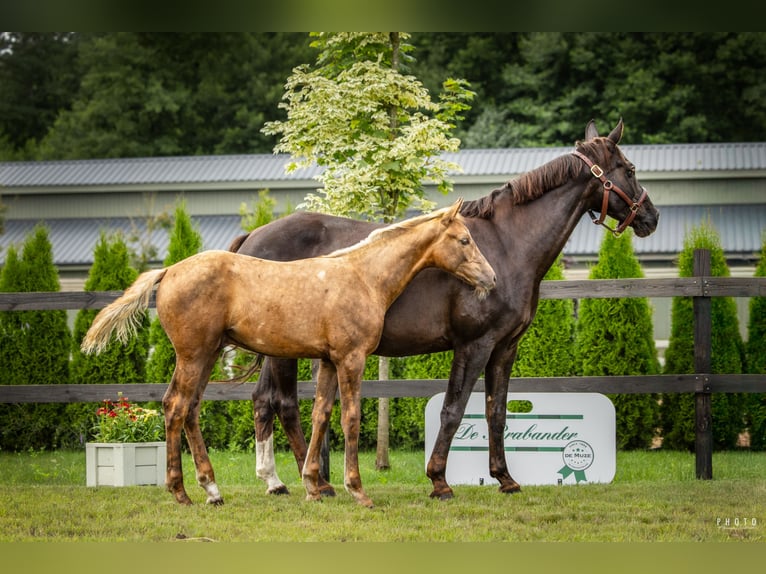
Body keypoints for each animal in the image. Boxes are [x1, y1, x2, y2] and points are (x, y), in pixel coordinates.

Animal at [81, 198, 495, 507]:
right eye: (464, 240)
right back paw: (183, 492)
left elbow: (320, 414)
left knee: (191, 409)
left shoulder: (327, 360)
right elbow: (350, 418)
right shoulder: (351, 358)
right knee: (176, 406)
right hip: (194, 355)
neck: (362, 276)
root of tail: (167, 271)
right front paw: (357, 490)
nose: (491, 278)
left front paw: (314, 486)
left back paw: (213, 491)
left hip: (208, 355)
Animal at [229, 119, 660, 501]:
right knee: (284, 404)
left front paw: (505, 479)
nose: (651, 217)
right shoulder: (474, 344)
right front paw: (439, 481)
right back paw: (317, 483)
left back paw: (278, 481)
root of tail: (253, 237)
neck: (507, 244)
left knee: (263, 400)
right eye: (630, 169)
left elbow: (496, 412)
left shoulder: (505, 348)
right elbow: (453, 410)